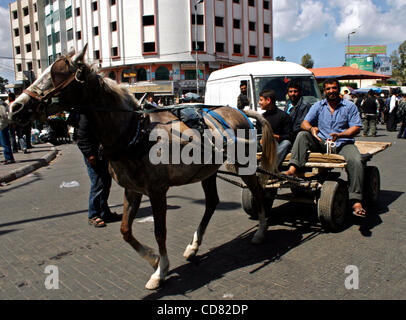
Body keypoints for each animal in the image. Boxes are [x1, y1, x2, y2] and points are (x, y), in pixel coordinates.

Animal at [8, 45, 280, 290]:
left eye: (58, 73)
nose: (15, 107)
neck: (134, 132)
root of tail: (241, 112)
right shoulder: (132, 190)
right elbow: (125, 230)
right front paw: (153, 259)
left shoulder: (157, 191)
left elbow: (160, 231)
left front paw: (160, 271)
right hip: (208, 170)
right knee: (212, 202)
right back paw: (193, 247)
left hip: (244, 166)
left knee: (257, 192)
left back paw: (260, 232)